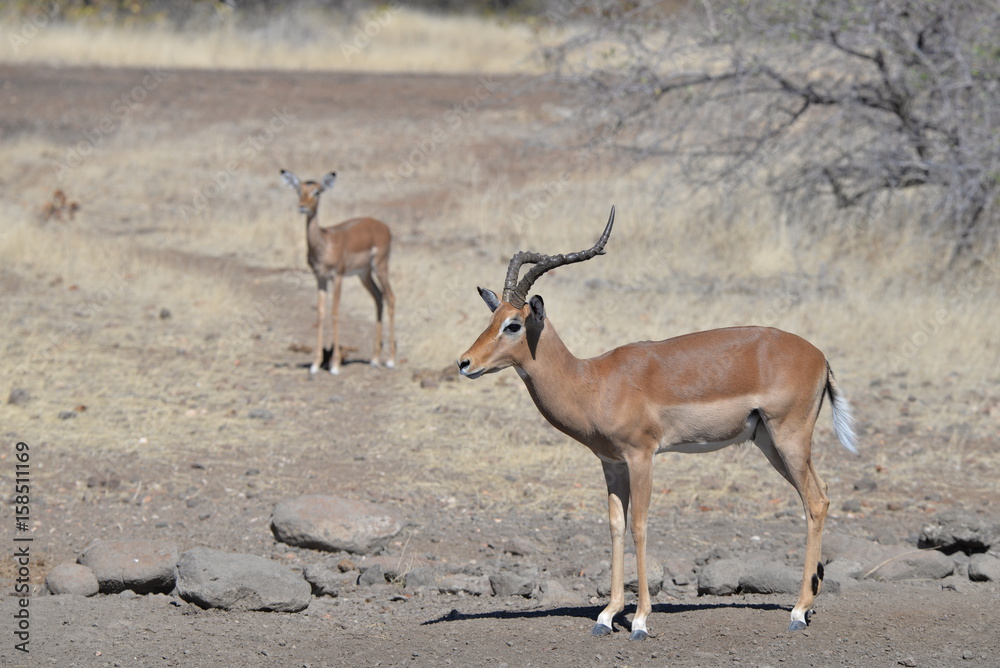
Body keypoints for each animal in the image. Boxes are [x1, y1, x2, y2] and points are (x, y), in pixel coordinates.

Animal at [281, 170, 396, 375]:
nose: (302, 207)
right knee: (378, 297)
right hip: (364, 274)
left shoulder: (338, 276)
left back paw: (390, 361)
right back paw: (374, 359)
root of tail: (383, 227)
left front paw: (334, 365)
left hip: (380, 267)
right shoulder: (320, 278)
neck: (324, 242)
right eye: (299, 190)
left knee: (390, 297)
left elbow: (334, 312)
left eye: (317, 192)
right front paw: (315, 364)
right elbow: (320, 313)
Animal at [457, 207, 857, 640]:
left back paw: (798, 612)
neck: (593, 381)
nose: (464, 362)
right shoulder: (611, 463)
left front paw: (640, 620)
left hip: (788, 437)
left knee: (815, 502)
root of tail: (820, 356)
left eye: (513, 324)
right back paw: (808, 603)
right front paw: (606, 615)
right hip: (769, 442)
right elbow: (615, 525)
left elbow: (640, 525)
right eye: (492, 317)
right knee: (822, 493)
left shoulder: (642, 456)